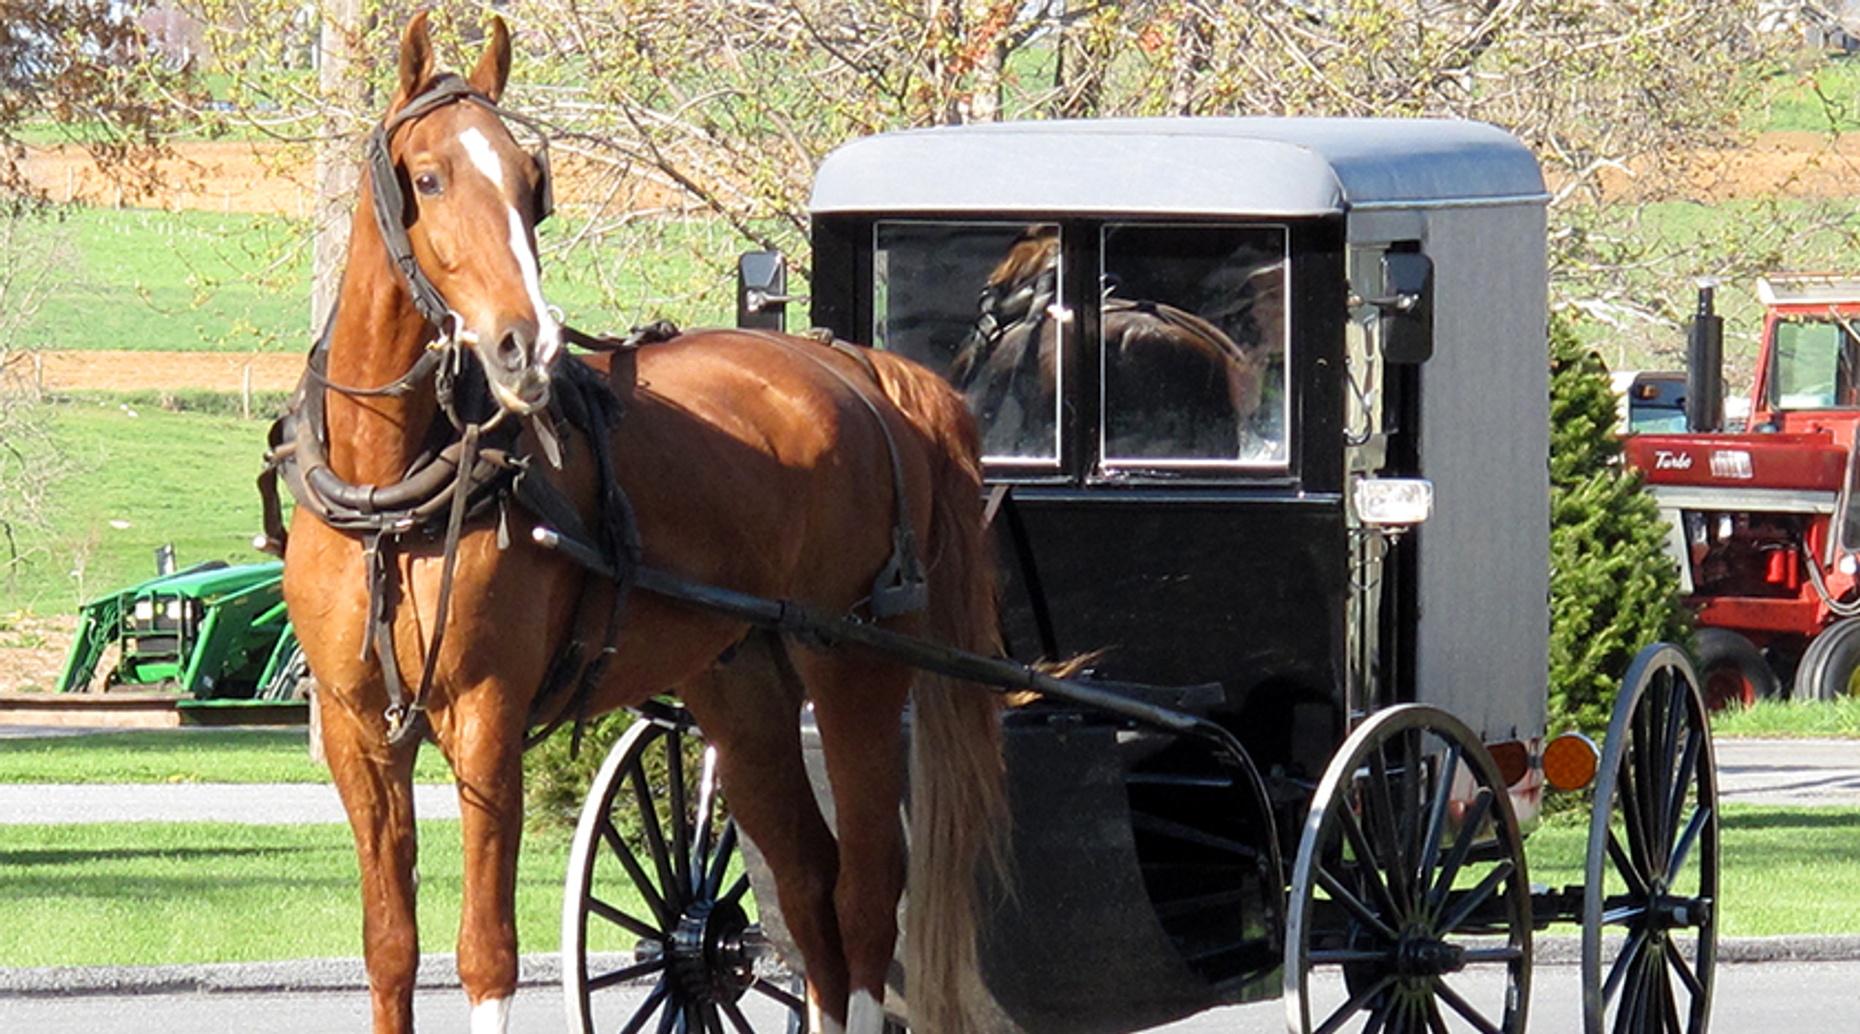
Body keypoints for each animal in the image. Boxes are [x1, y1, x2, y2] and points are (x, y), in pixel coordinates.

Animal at [280, 14, 1004, 1034]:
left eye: (530, 184)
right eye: (428, 177)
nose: (527, 344)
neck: (392, 490)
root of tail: (862, 371)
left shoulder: (487, 718)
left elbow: (486, 953)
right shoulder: (358, 733)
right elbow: (390, 949)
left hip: (854, 668)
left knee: (866, 897)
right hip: (741, 684)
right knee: (809, 888)